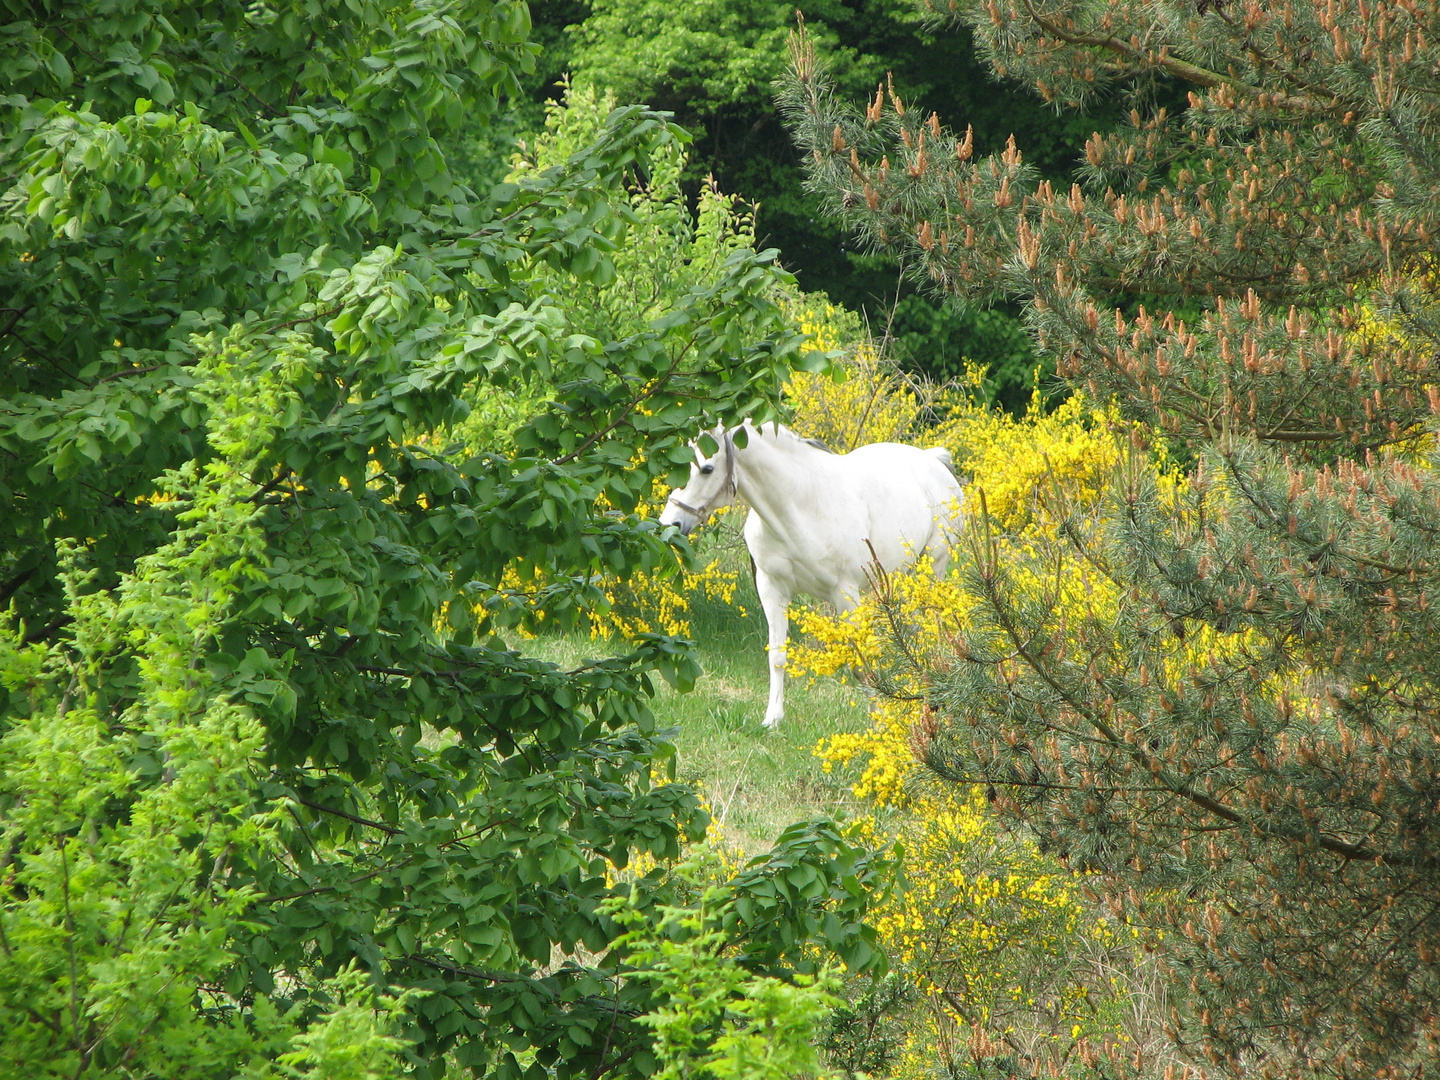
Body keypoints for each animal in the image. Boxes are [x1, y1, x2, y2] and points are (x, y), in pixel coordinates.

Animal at [659, 423, 961, 728]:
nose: (670, 525)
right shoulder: (772, 590)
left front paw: (878, 720)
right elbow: (777, 655)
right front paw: (773, 718)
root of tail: (933, 460)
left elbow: (860, 662)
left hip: (932, 569)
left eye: (706, 469)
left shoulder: (845, 594)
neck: (801, 505)